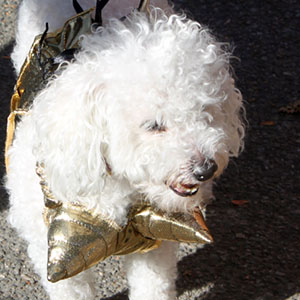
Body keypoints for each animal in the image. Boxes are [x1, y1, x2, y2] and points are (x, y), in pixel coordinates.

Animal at [4, 0, 245, 300]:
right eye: (154, 125)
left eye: (205, 111)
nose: (206, 169)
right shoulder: (54, 247)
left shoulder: (157, 236)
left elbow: (153, 285)